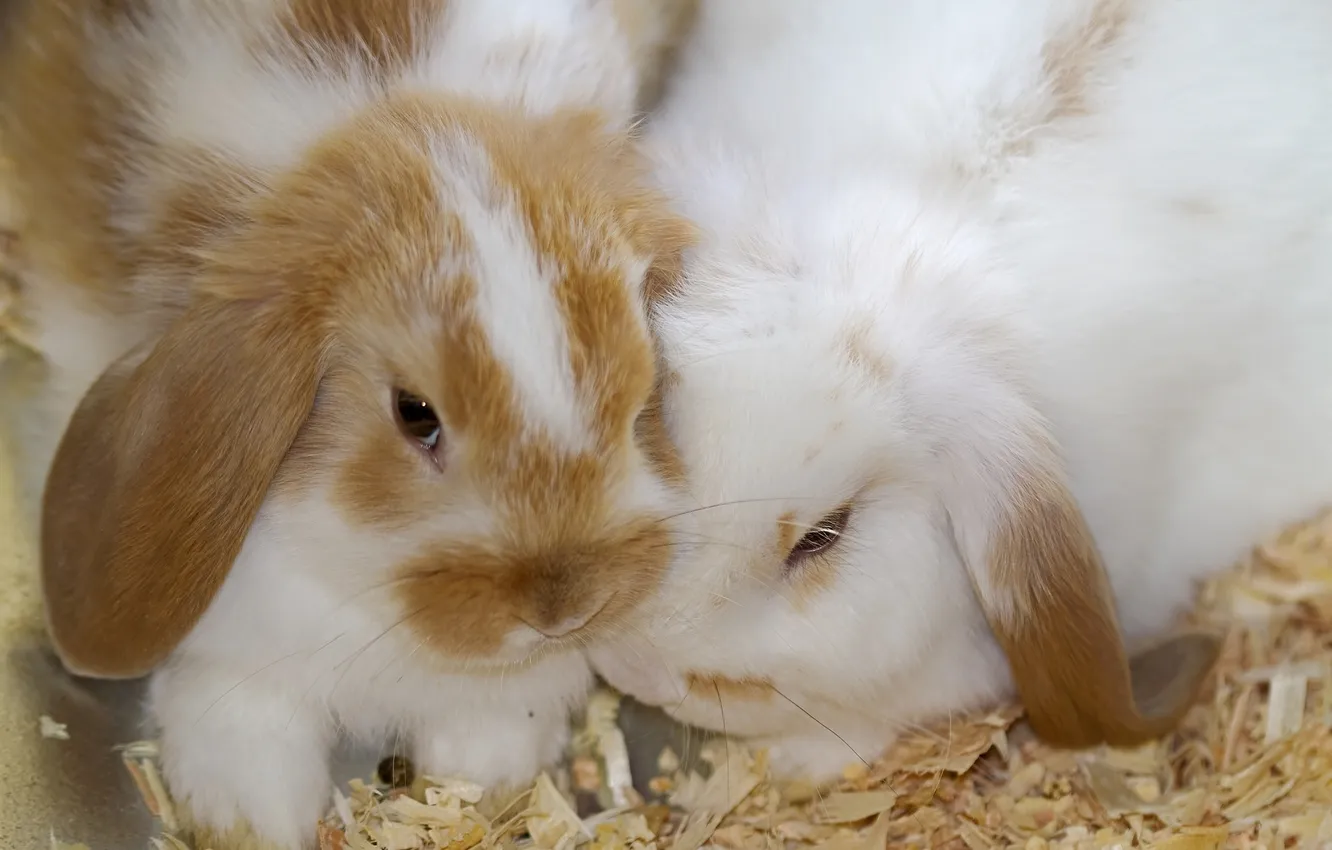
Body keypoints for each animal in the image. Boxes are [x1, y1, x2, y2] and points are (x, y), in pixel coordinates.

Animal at [0, 0, 695, 847]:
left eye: (639, 391)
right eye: (415, 414)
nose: (563, 608)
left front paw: (485, 777)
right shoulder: (240, 650)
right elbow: (247, 734)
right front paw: (251, 819)